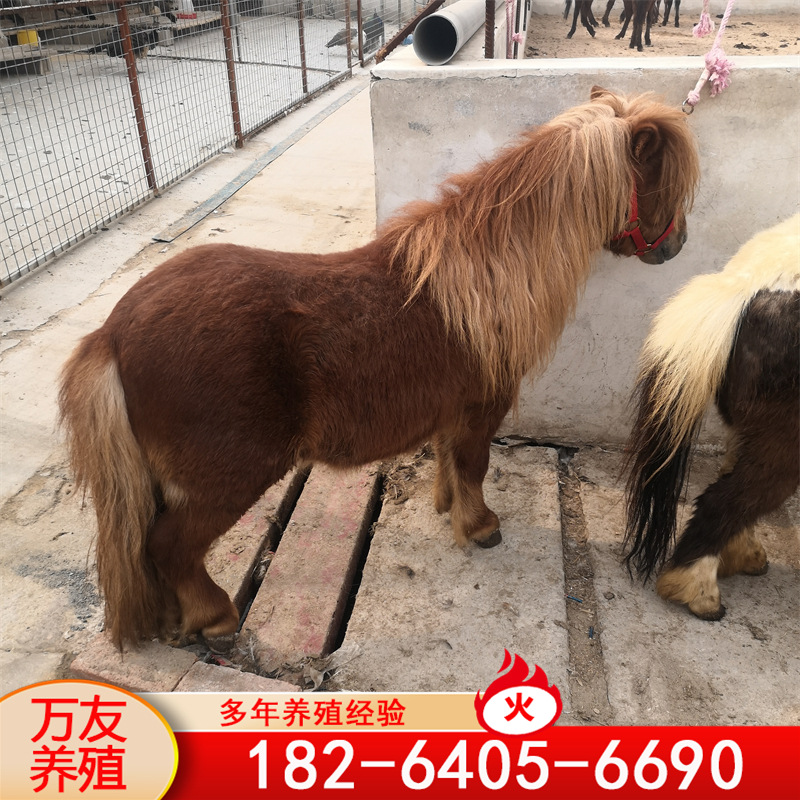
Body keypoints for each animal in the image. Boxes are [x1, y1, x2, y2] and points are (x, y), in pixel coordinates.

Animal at [59, 88, 700, 648]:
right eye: (660, 183)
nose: (677, 246)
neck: (484, 277)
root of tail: (112, 332)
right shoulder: (480, 409)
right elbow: (474, 465)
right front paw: (480, 526)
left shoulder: (451, 411)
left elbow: (450, 461)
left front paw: (447, 508)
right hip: (230, 477)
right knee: (168, 546)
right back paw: (214, 618)